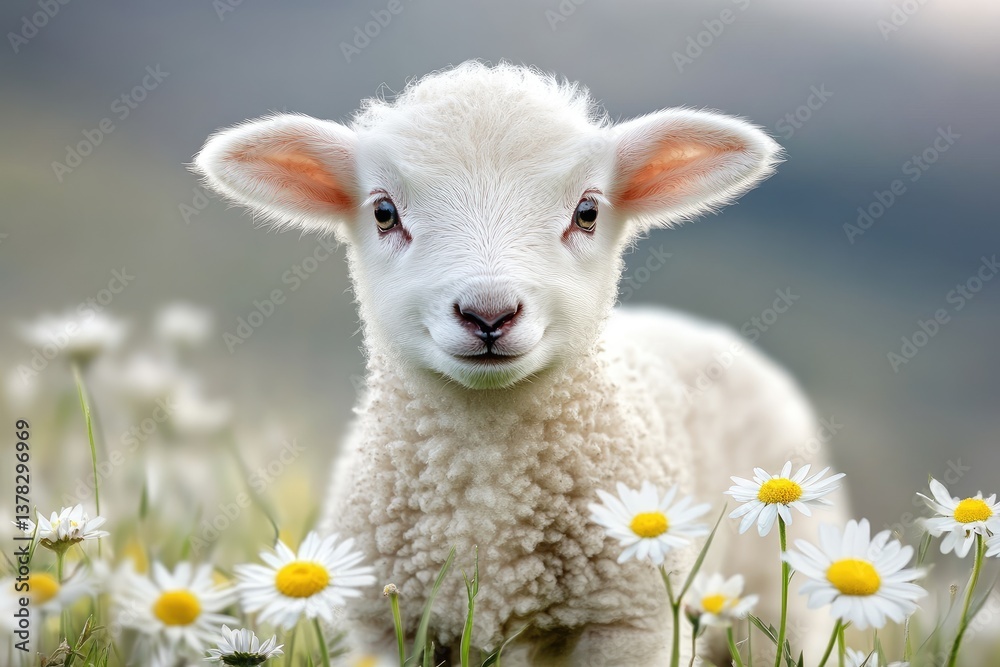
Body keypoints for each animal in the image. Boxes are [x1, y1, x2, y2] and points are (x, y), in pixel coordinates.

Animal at [195, 61, 846, 666]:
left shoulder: (632, 621)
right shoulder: (382, 627)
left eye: (587, 212)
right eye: (383, 213)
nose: (489, 314)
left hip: (780, 588)